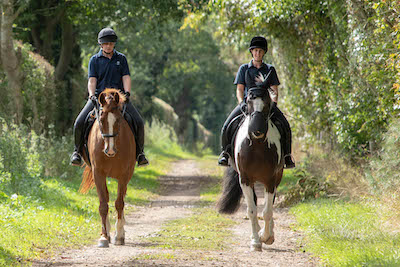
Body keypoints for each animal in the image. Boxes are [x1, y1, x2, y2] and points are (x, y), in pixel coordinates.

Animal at [79, 88, 137, 249]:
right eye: (101, 119)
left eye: (118, 120)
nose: (109, 150)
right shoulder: (98, 174)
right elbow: (103, 204)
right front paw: (104, 236)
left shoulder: (124, 175)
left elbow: (119, 203)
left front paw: (119, 235)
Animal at [216, 70, 284, 252]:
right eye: (248, 101)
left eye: (267, 101)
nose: (256, 130)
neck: (258, 147)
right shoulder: (245, 179)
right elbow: (252, 210)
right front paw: (255, 241)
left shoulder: (270, 180)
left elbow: (267, 211)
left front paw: (266, 237)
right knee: (254, 201)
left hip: (276, 178)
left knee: (269, 205)